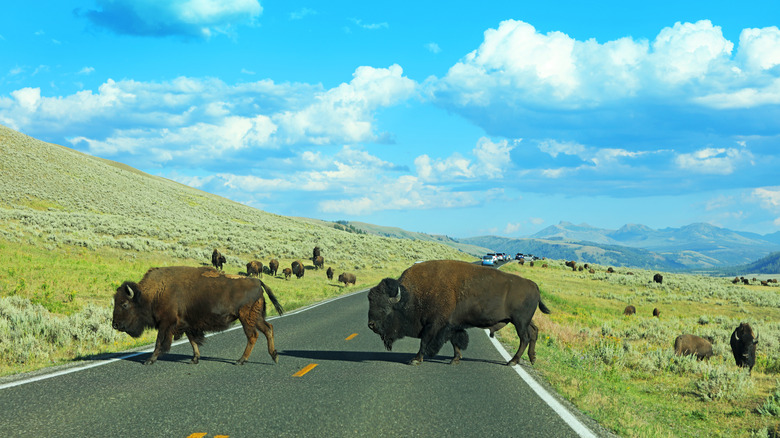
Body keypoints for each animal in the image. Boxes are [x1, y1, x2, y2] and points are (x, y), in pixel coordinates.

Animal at [111, 266, 284, 365]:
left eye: (124, 304)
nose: (115, 324)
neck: (153, 292)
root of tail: (257, 281)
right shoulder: (187, 324)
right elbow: (192, 340)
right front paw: (195, 359)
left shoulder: (166, 323)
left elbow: (159, 342)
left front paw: (149, 360)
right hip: (256, 317)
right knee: (268, 329)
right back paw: (274, 356)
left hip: (246, 318)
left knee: (253, 335)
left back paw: (241, 360)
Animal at [367, 260, 551, 366]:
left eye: (385, 308)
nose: (371, 325)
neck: (410, 295)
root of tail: (533, 285)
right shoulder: (451, 325)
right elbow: (455, 341)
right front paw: (455, 359)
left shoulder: (434, 325)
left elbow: (425, 341)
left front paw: (416, 359)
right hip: (524, 321)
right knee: (534, 332)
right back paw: (532, 359)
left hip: (519, 322)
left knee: (524, 338)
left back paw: (512, 362)